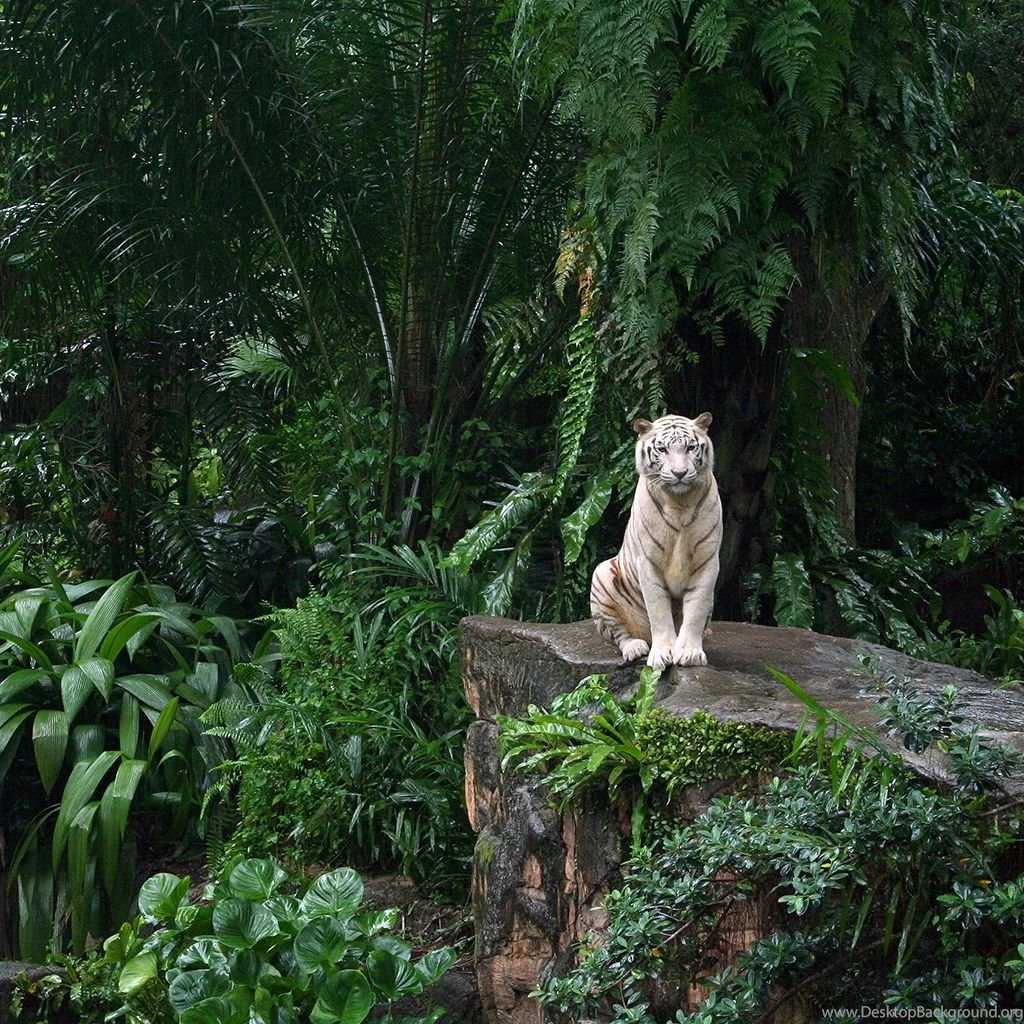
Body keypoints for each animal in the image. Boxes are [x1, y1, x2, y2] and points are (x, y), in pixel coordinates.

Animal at [590, 413, 723, 669]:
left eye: (690, 447)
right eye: (662, 449)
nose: (680, 473)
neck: (680, 503)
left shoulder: (707, 561)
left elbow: (696, 609)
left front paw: (689, 653)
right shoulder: (648, 562)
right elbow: (658, 611)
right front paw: (663, 653)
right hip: (601, 576)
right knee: (618, 634)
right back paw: (635, 647)